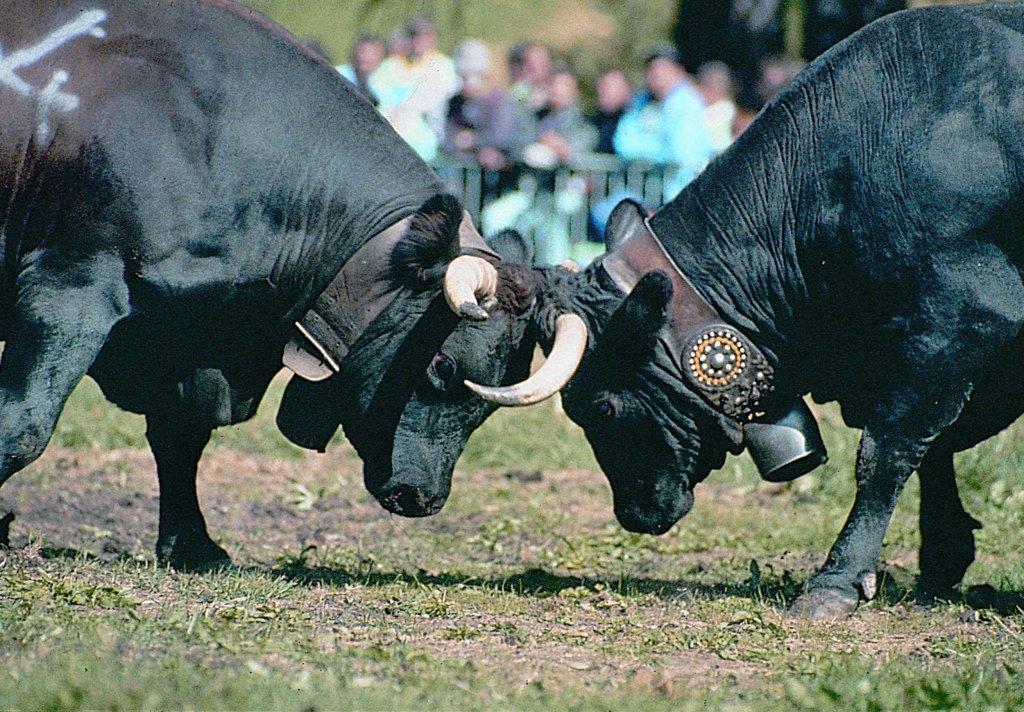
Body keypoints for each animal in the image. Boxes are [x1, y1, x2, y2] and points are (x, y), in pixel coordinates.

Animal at [0, 0, 544, 569]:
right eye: (443, 364)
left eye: (488, 403)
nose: (422, 498)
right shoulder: (69, 288)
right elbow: (24, 424)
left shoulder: (185, 339)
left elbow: (180, 436)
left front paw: (193, 545)